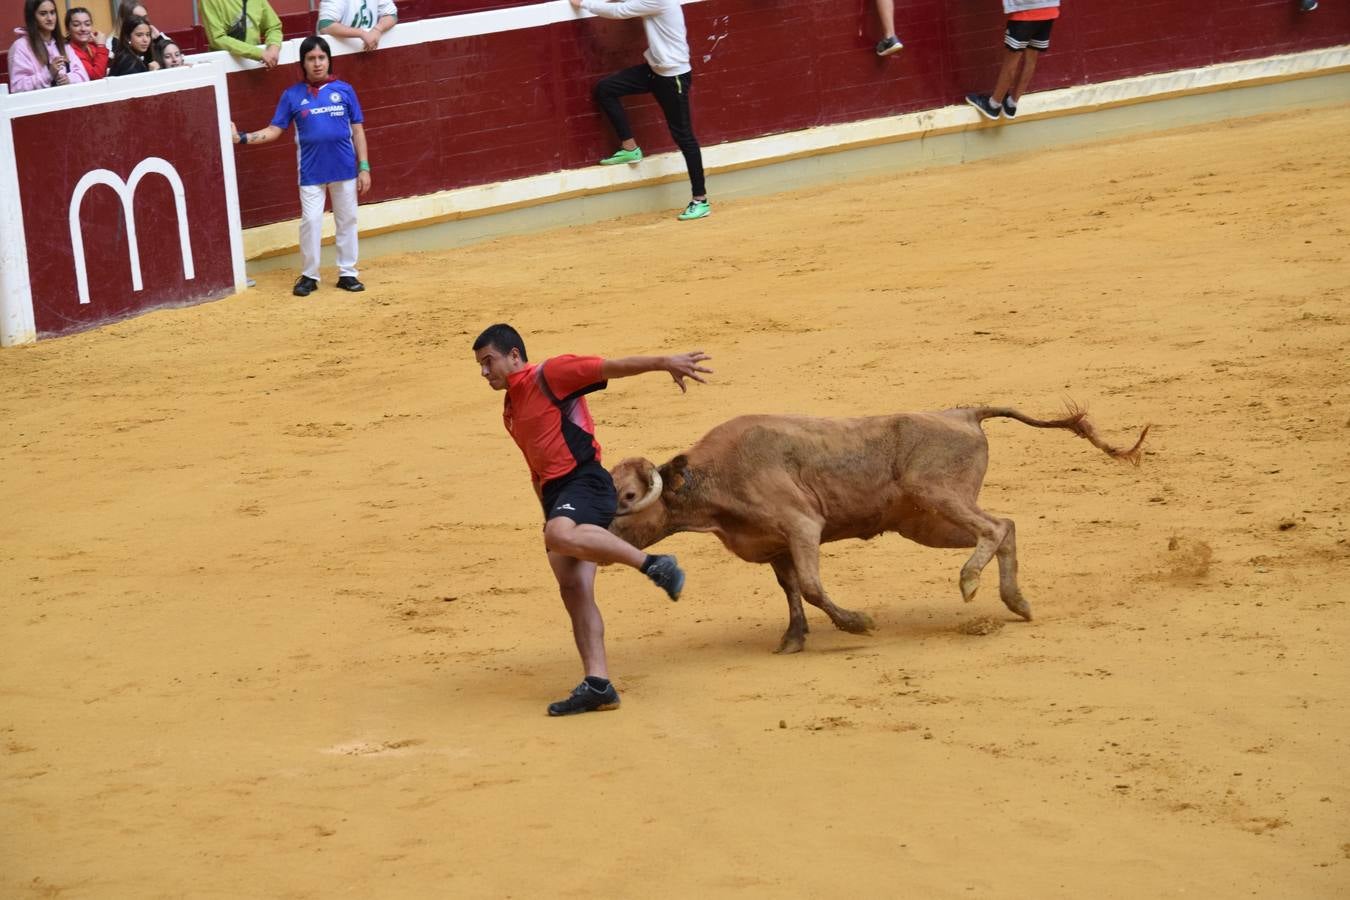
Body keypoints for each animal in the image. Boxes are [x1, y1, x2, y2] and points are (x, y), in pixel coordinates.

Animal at [612, 407, 1150, 655]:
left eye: (625, 497)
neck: (713, 480)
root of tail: (964, 412)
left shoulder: (802, 527)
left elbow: (812, 588)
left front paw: (857, 623)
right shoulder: (775, 548)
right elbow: (792, 592)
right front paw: (793, 639)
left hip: (937, 496)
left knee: (995, 527)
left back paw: (971, 582)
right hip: (927, 522)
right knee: (1006, 527)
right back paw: (1016, 601)